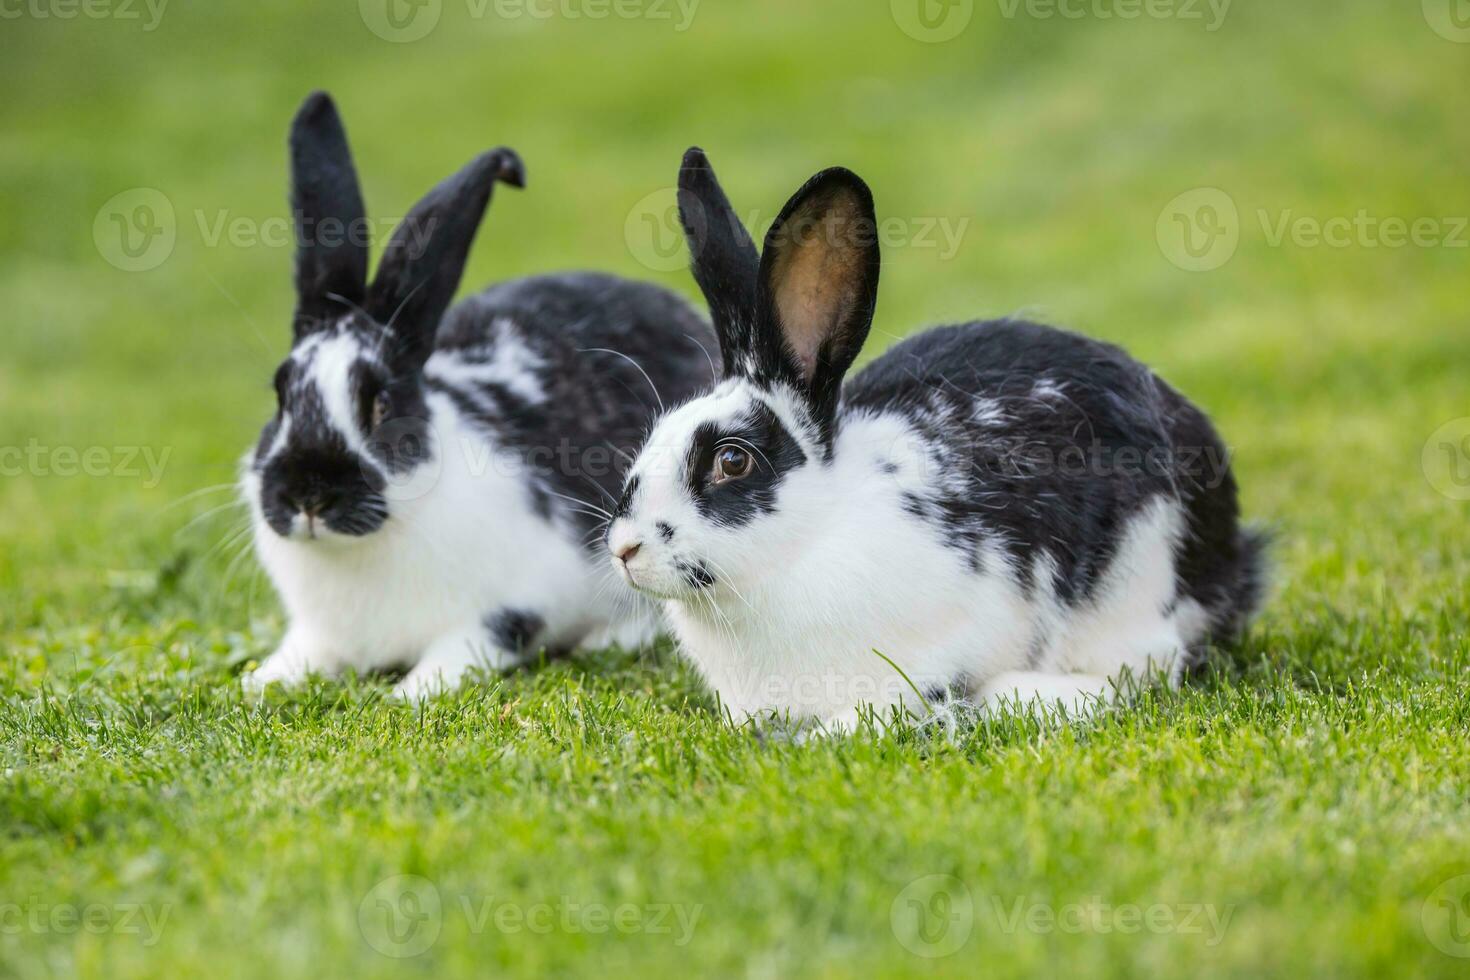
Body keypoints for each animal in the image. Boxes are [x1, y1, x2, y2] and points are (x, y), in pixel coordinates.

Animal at [238, 94, 720, 696]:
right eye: (280, 395)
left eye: (382, 405)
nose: (308, 496)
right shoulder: (319, 633)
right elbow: (299, 657)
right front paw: (259, 684)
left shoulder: (516, 602)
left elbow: (469, 645)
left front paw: (408, 695)